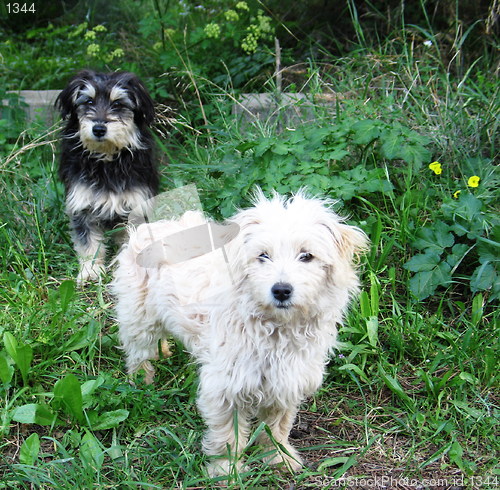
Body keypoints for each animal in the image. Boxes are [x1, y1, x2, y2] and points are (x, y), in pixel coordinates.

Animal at [55, 69, 157, 284]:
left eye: (118, 104)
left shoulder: (135, 206)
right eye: (88, 101)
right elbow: (88, 244)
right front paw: (90, 271)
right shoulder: (82, 206)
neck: (106, 162)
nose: (99, 129)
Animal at [111, 190, 368, 474]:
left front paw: (278, 457)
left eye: (306, 256)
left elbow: (277, 427)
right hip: (139, 318)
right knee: (137, 353)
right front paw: (226, 470)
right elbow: (227, 436)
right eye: (263, 255)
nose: (281, 290)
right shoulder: (225, 388)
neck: (275, 329)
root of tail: (156, 224)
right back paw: (142, 384)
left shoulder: (287, 382)